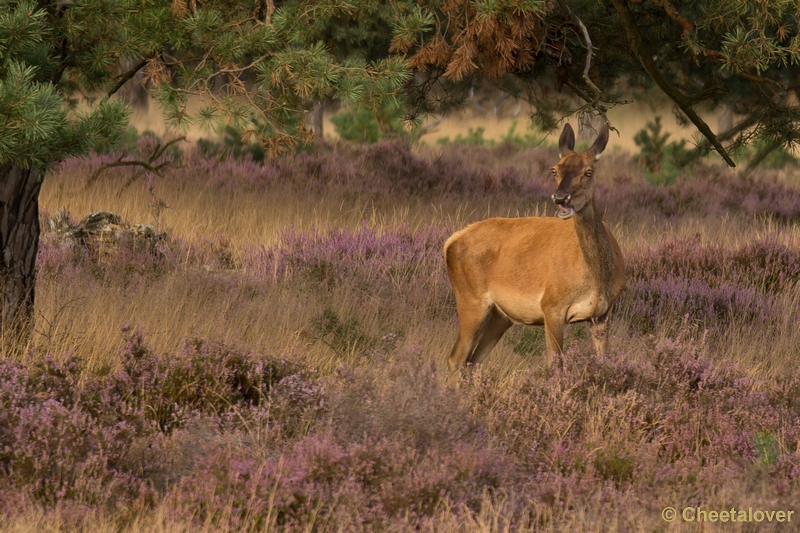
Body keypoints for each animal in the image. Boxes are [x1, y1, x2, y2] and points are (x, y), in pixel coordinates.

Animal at [444, 122, 624, 368]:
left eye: (589, 171)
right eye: (554, 170)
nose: (560, 198)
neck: (598, 277)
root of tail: (449, 243)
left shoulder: (603, 314)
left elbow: (604, 361)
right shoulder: (552, 306)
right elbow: (555, 364)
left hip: (500, 316)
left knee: (473, 360)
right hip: (470, 300)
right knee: (456, 358)